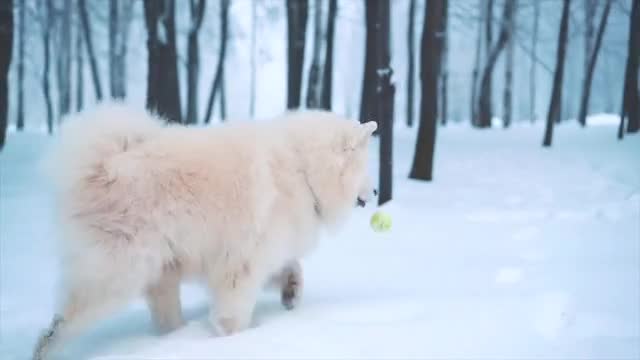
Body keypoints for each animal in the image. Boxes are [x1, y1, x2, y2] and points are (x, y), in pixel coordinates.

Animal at [32, 102, 378, 358]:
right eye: (366, 167)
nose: (376, 192)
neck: (303, 169)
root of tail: (101, 166)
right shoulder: (241, 263)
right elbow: (234, 308)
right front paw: (234, 339)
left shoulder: (257, 253)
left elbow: (290, 266)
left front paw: (291, 291)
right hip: (120, 273)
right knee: (63, 323)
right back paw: (47, 346)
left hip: (161, 269)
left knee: (164, 312)